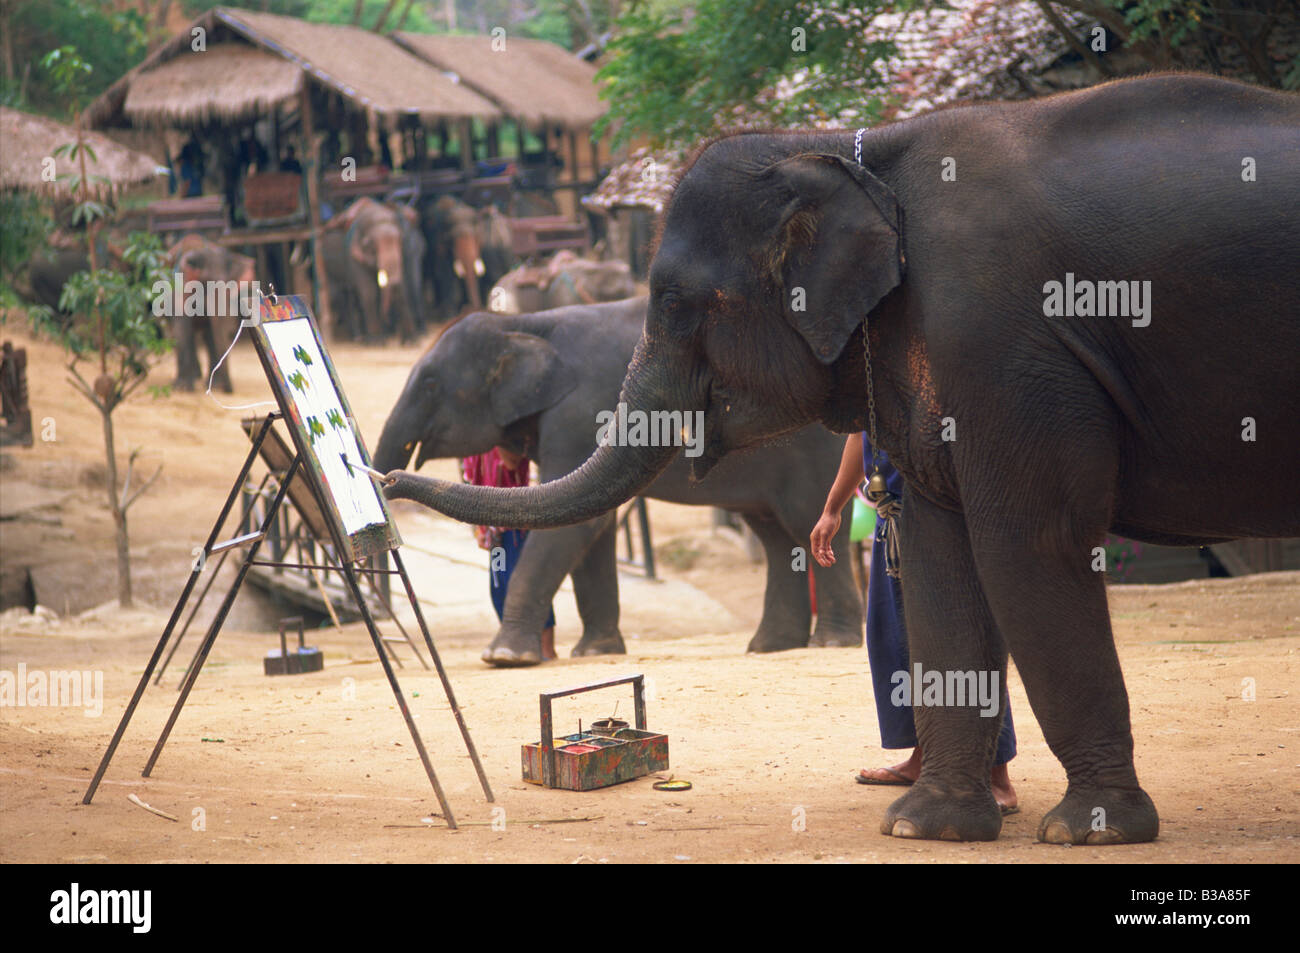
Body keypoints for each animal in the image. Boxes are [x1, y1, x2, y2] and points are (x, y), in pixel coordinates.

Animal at [371, 296, 863, 665]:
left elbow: (575, 530)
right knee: (774, 534)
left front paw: (504, 658)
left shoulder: (580, 414)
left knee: (803, 521)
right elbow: (590, 526)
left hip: (819, 450)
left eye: (431, 384)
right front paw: (595, 653)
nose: (388, 479)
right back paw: (769, 647)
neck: (524, 324)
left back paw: (831, 643)